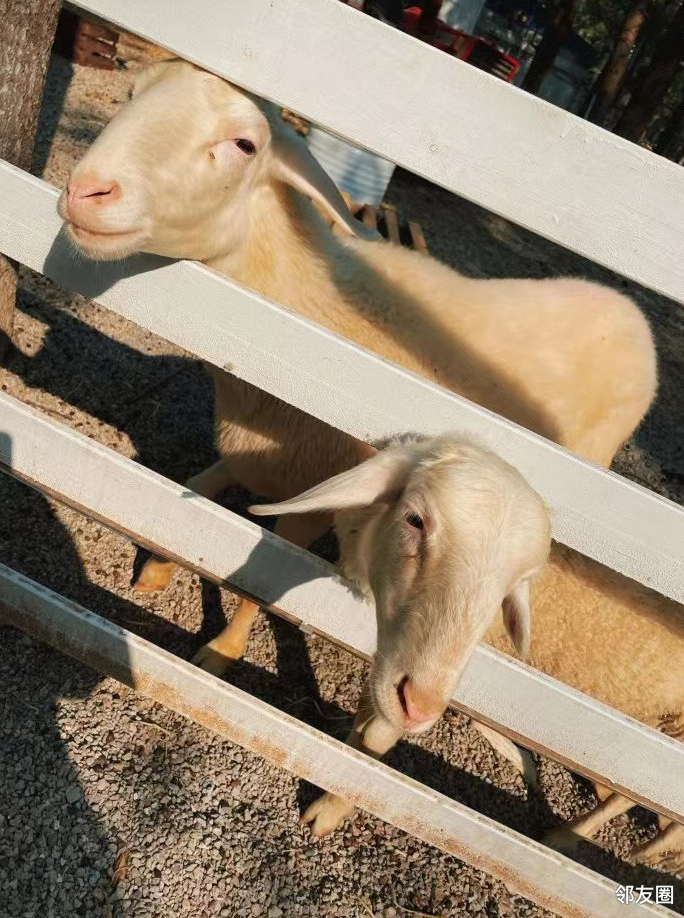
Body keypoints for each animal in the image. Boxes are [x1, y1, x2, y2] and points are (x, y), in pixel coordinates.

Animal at [57, 60, 668, 859]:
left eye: (245, 144)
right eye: (131, 96)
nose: (86, 190)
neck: (298, 310)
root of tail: (631, 313)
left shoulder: (319, 483)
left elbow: (261, 579)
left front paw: (220, 651)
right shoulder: (272, 449)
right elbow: (204, 482)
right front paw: (157, 564)